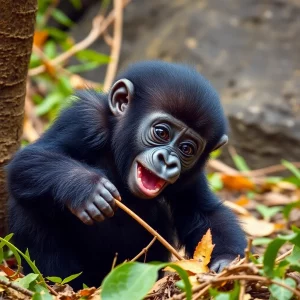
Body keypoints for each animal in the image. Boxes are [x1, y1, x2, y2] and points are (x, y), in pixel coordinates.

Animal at [6, 60, 246, 288]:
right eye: (161, 132)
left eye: (187, 148)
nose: (168, 161)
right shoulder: (85, 118)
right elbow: (28, 159)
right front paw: (88, 187)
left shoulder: (192, 177)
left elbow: (204, 212)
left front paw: (227, 263)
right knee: (29, 206)